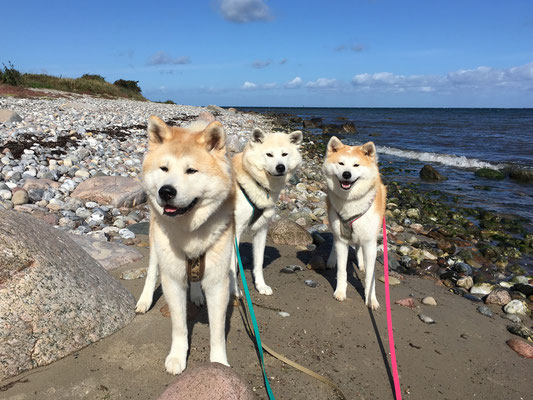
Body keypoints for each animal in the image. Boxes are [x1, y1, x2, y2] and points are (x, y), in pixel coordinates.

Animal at [139, 115, 235, 376]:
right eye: (164, 168)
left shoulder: (217, 281)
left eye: (191, 170)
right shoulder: (172, 277)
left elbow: (217, 331)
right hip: (156, 244)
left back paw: (196, 295)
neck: (189, 230)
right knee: (151, 271)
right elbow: (179, 326)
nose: (166, 191)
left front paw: (219, 362)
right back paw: (144, 300)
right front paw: (177, 356)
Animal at [230, 128, 304, 296]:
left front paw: (261, 285)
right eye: (269, 154)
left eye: (284, 154)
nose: (280, 167)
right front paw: (235, 290)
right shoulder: (235, 232)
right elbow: (233, 264)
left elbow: (258, 262)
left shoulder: (262, 229)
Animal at [322, 135, 384, 310]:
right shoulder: (342, 240)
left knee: (358, 247)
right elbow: (342, 271)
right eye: (341, 163)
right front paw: (340, 292)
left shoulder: (370, 242)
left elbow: (370, 276)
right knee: (335, 242)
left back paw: (361, 263)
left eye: (356, 165)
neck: (351, 202)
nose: (346, 174)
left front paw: (371, 299)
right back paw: (331, 260)